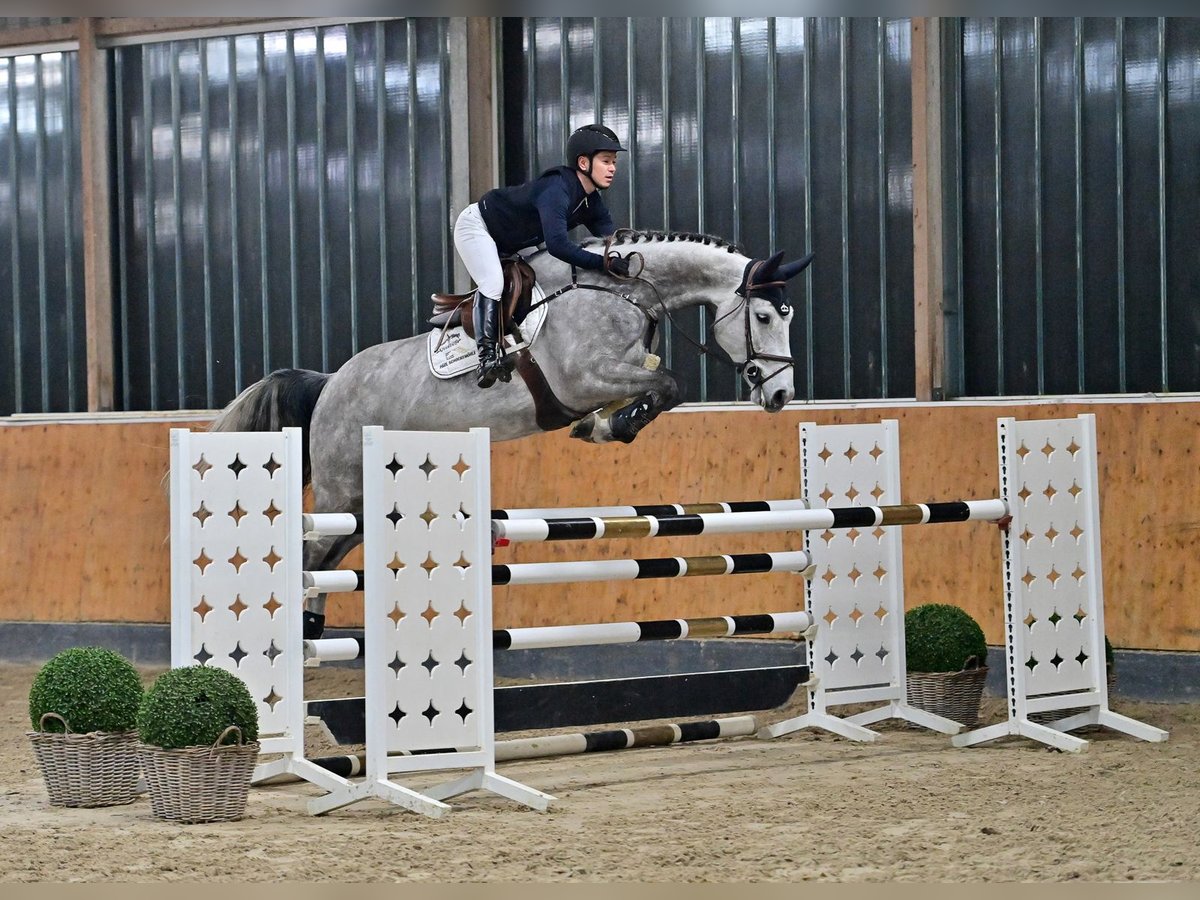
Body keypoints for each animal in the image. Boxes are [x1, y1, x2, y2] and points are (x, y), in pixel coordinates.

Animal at [208, 229, 816, 638]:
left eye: (790, 315)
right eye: (765, 317)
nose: (781, 395)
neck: (623, 292)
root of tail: (329, 382)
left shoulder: (613, 373)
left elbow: (660, 384)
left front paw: (606, 425)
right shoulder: (584, 378)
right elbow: (669, 382)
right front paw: (614, 426)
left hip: (362, 507)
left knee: (324, 563)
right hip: (341, 493)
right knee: (310, 555)